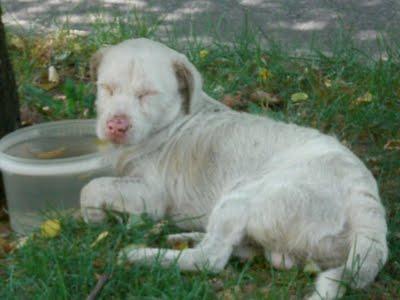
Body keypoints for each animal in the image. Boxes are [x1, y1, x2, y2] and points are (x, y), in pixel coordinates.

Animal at [80, 38, 388, 298]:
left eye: (147, 94)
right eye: (106, 88)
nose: (115, 125)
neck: (173, 120)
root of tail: (365, 202)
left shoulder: (152, 194)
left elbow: (91, 188)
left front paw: (94, 215)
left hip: (244, 195)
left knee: (211, 258)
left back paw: (141, 255)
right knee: (246, 250)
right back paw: (182, 237)